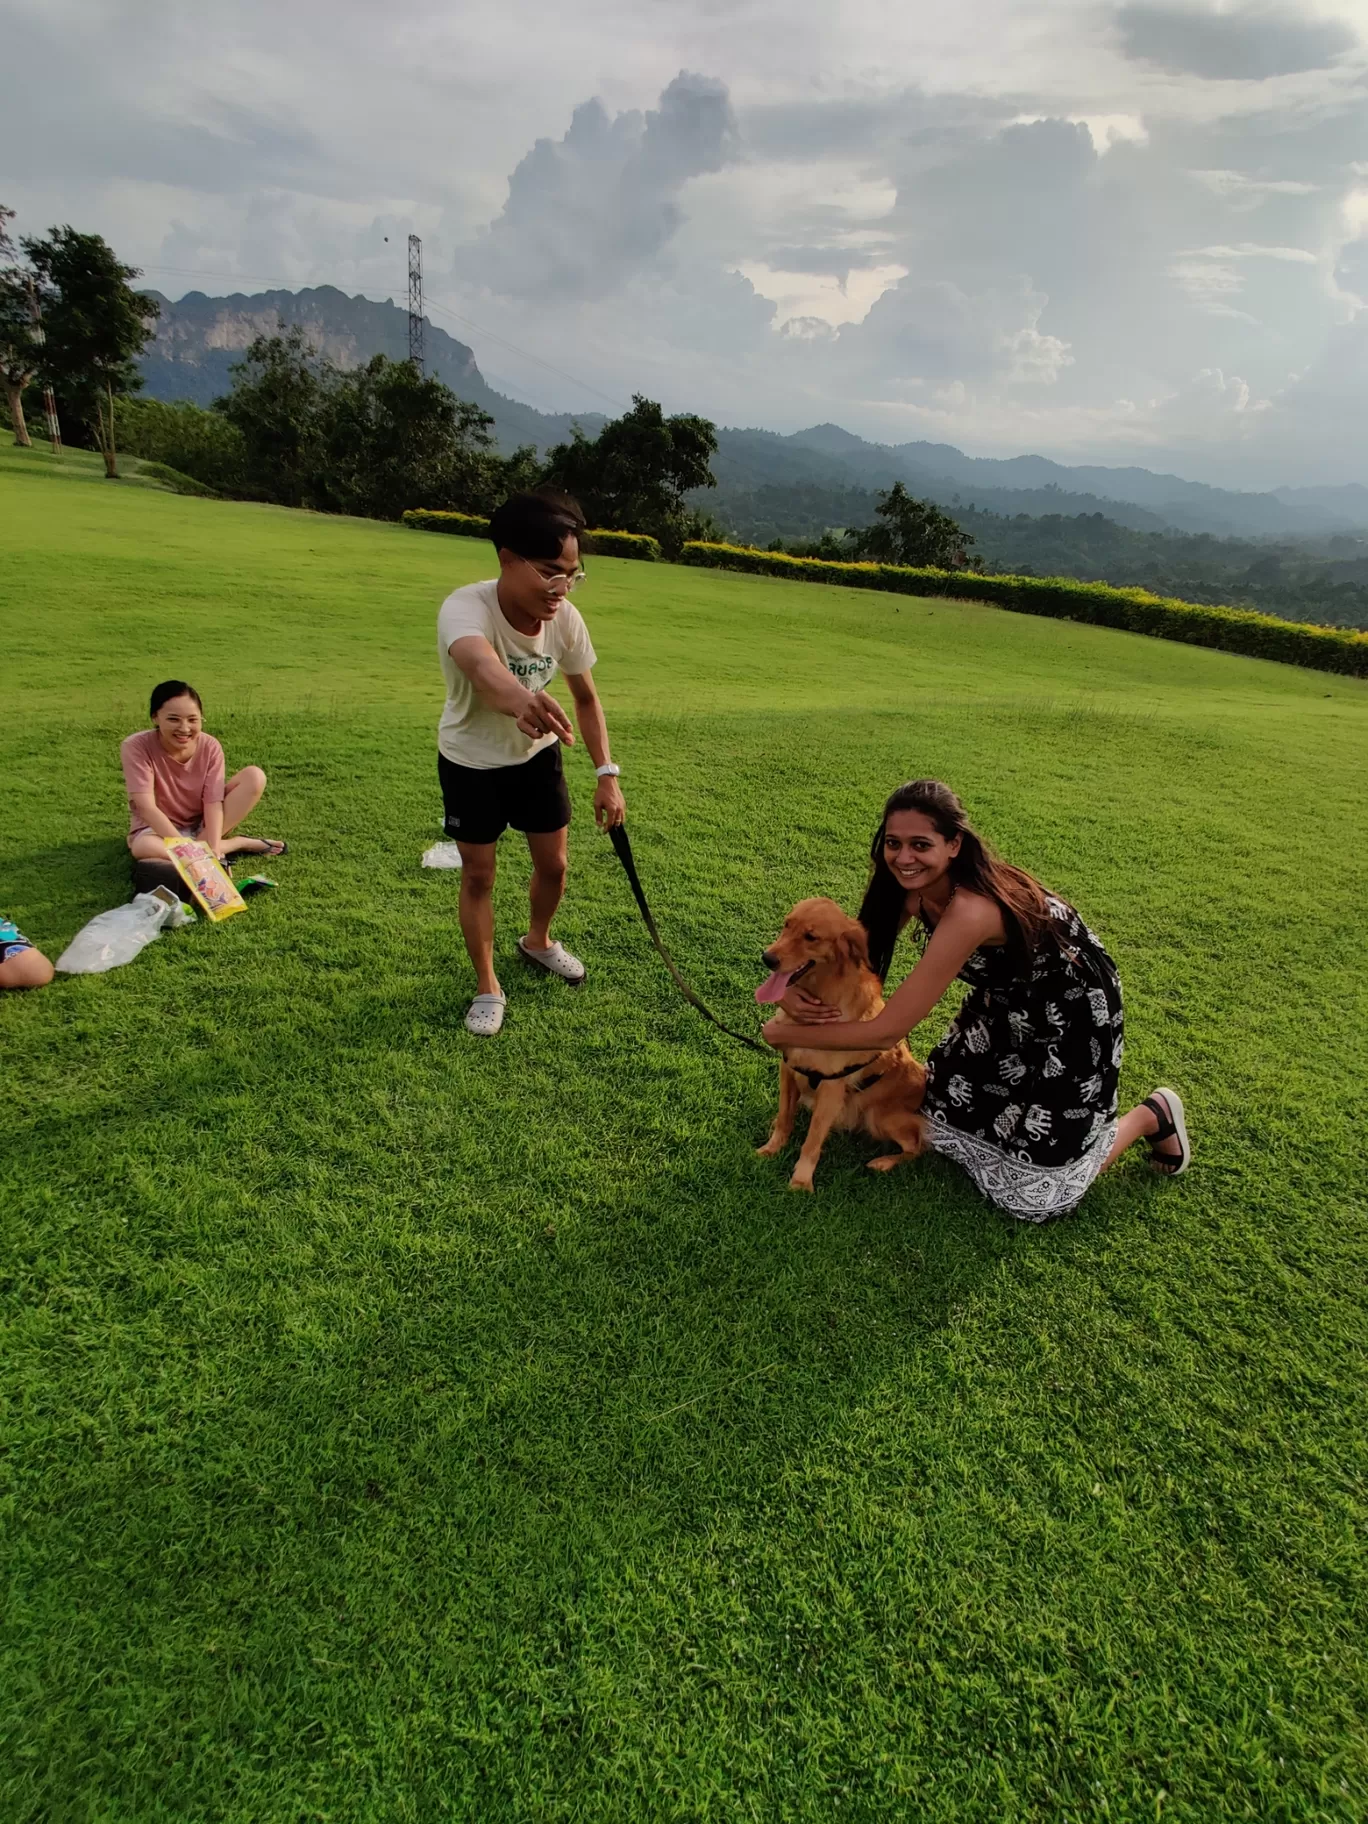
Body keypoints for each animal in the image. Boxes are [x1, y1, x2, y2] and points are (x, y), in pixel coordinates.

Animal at [751, 901, 933, 1196]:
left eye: (811, 937)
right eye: (787, 924)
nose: (768, 958)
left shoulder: (831, 1088)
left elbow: (813, 1140)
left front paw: (801, 1181)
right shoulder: (788, 1067)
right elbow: (784, 1117)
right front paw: (771, 1148)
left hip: (879, 1117)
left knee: (916, 1145)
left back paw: (883, 1162)